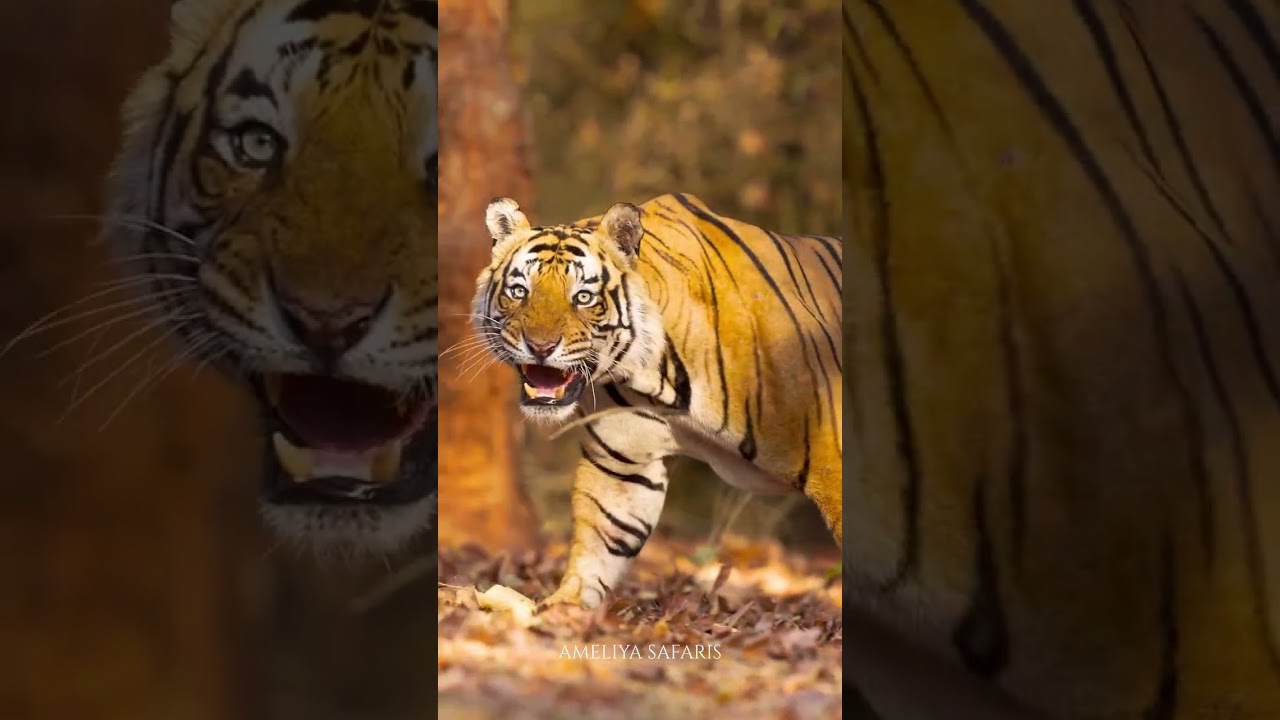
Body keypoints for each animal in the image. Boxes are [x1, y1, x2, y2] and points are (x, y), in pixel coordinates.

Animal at [472, 194, 843, 610]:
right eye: (520, 291)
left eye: (582, 297)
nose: (540, 347)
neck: (648, 374)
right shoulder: (622, 464)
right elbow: (602, 540)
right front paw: (563, 609)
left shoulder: (833, 457)